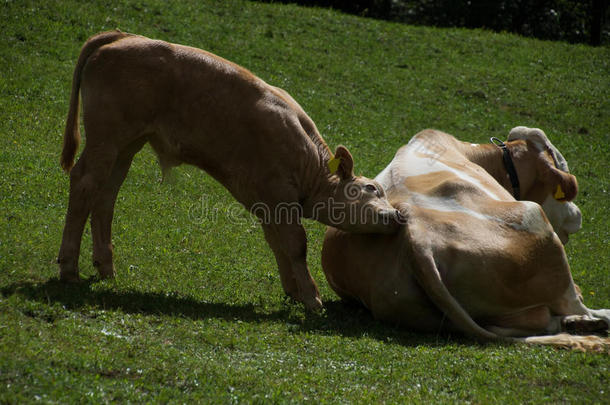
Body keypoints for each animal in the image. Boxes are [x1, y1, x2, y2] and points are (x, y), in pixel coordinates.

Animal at [55, 30, 400, 310]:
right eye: (371, 188)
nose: (397, 215)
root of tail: (122, 37)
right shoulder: (278, 192)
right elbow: (296, 244)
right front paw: (312, 298)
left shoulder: (265, 202)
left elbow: (277, 242)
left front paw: (292, 290)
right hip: (107, 136)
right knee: (85, 181)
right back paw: (69, 268)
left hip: (126, 145)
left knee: (106, 194)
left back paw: (105, 266)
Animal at [320, 127, 604, 350]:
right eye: (562, 166)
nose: (577, 216)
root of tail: (415, 233)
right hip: (534, 217)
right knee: (576, 306)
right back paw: (592, 321)